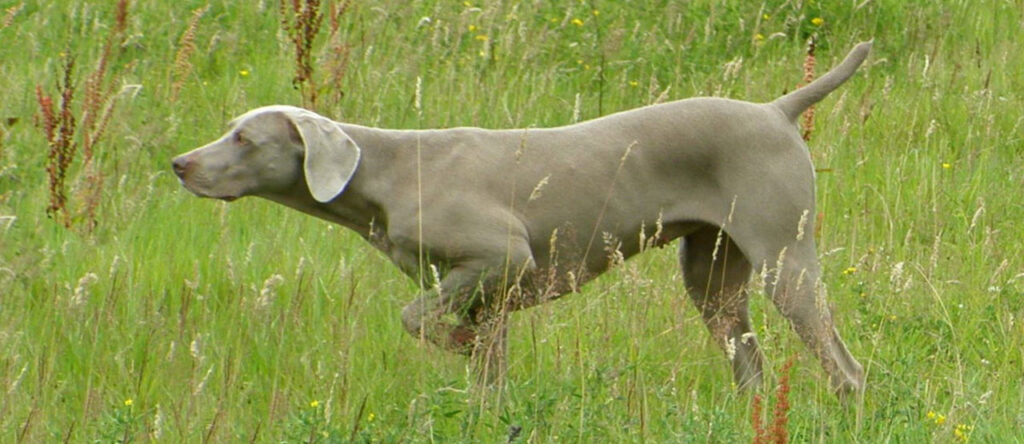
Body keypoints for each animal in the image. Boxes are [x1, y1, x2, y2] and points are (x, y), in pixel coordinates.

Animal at [174, 41, 872, 394]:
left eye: (244, 139)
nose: (179, 164)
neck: (388, 174)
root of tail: (776, 110)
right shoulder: (488, 297)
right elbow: (486, 377)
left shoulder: (500, 258)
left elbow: (415, 318)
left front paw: (451, 342)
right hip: (712, 274)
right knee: (747, 361)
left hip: (785, 256)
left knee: (846, 367)